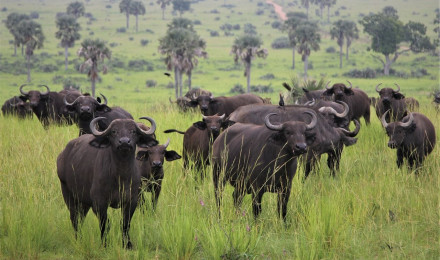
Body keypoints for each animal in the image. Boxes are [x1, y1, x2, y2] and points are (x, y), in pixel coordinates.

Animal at [56, 116, 156, 248]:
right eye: (114, 131)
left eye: (133, 131)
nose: (124, 142)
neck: (121, 176)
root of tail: (62, 156)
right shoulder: (99, 203)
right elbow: (105, 224)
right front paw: (105, 244)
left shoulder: (132, 201)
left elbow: (125, 223)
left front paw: (127, 244)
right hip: (69, 195)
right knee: (75, 219)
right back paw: (79, 240)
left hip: (84, 202)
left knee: (81, 218)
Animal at [229, 103, 360, 179]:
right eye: (341, 144)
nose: (336, 170)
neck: (320, 129)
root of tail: (234, 114)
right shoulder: (309, 155)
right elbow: (309, 170)